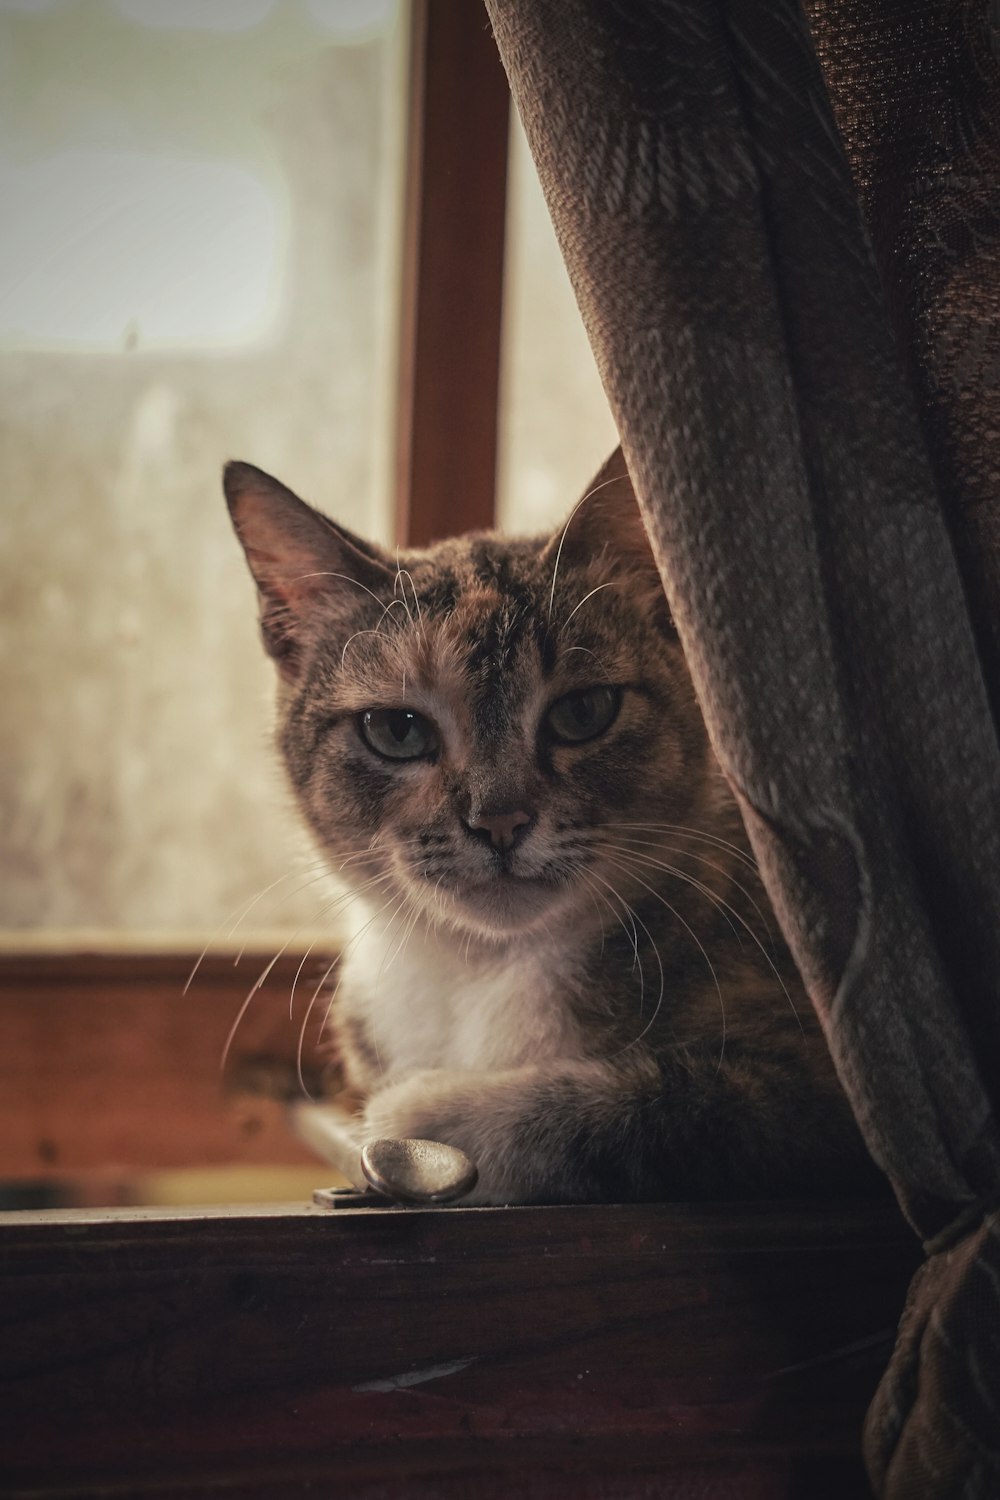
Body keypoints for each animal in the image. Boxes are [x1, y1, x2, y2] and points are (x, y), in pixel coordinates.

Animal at [224, 447, 875, 1206]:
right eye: (396, 730)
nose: (500, 820)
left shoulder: (823, 1098)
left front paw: (428, 1114)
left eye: (583, 712)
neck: (479, 971)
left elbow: (656, 1109)